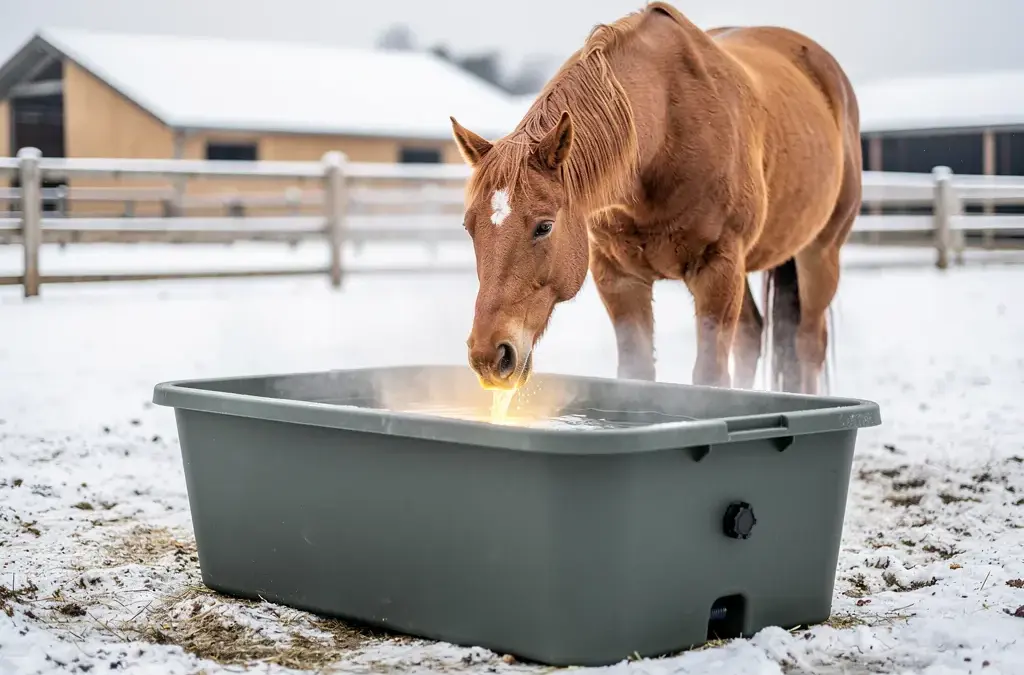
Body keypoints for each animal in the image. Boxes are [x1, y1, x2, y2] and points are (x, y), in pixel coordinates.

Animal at [450, 1, 861, 395]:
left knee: (807, 345)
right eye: (468, 227)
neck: (665, 131)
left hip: (818, 255)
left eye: (544, 226)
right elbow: (637, 374)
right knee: (752, 334)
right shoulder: (619, 279)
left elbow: (711, 376)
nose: (489, 355)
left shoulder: (718, 270)